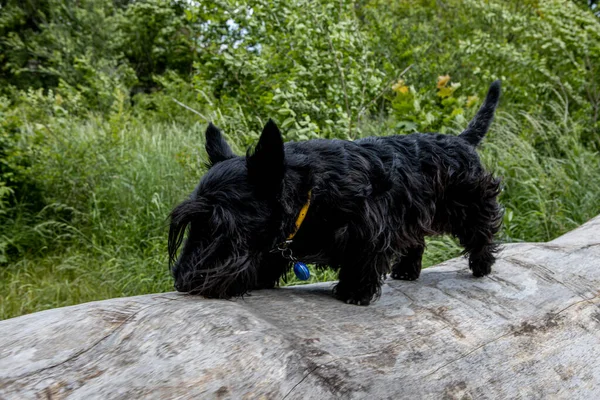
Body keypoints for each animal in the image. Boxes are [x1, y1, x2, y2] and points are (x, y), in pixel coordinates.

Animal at [169, 81, 502, 306]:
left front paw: (354, 292)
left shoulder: (369, 227)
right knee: (415, 240)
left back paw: (482, 264)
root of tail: (462, 140)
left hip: (470, 202)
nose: (181, 280)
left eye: (220, 224)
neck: (309, 192)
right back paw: (407, 270)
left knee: (482, 229)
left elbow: (362, 258)